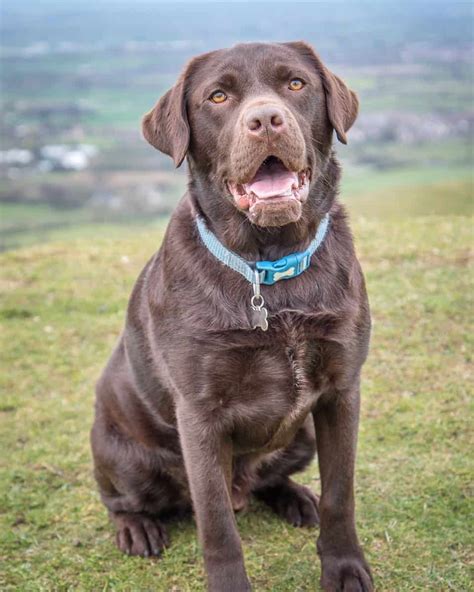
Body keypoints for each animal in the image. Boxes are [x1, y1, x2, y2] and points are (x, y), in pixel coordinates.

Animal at [90, 42, 374, 592]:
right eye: (218, 96)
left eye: (296, 84)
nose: (265, 120)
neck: (270, 268)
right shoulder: (199, 415)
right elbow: (217, 523)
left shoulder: (341, 392)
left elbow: (341, 493)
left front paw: (344, 567)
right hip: (124, 457)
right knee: (123, 500)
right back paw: (137, 527)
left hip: (303, 434)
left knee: (273, 479)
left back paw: (294, 497)